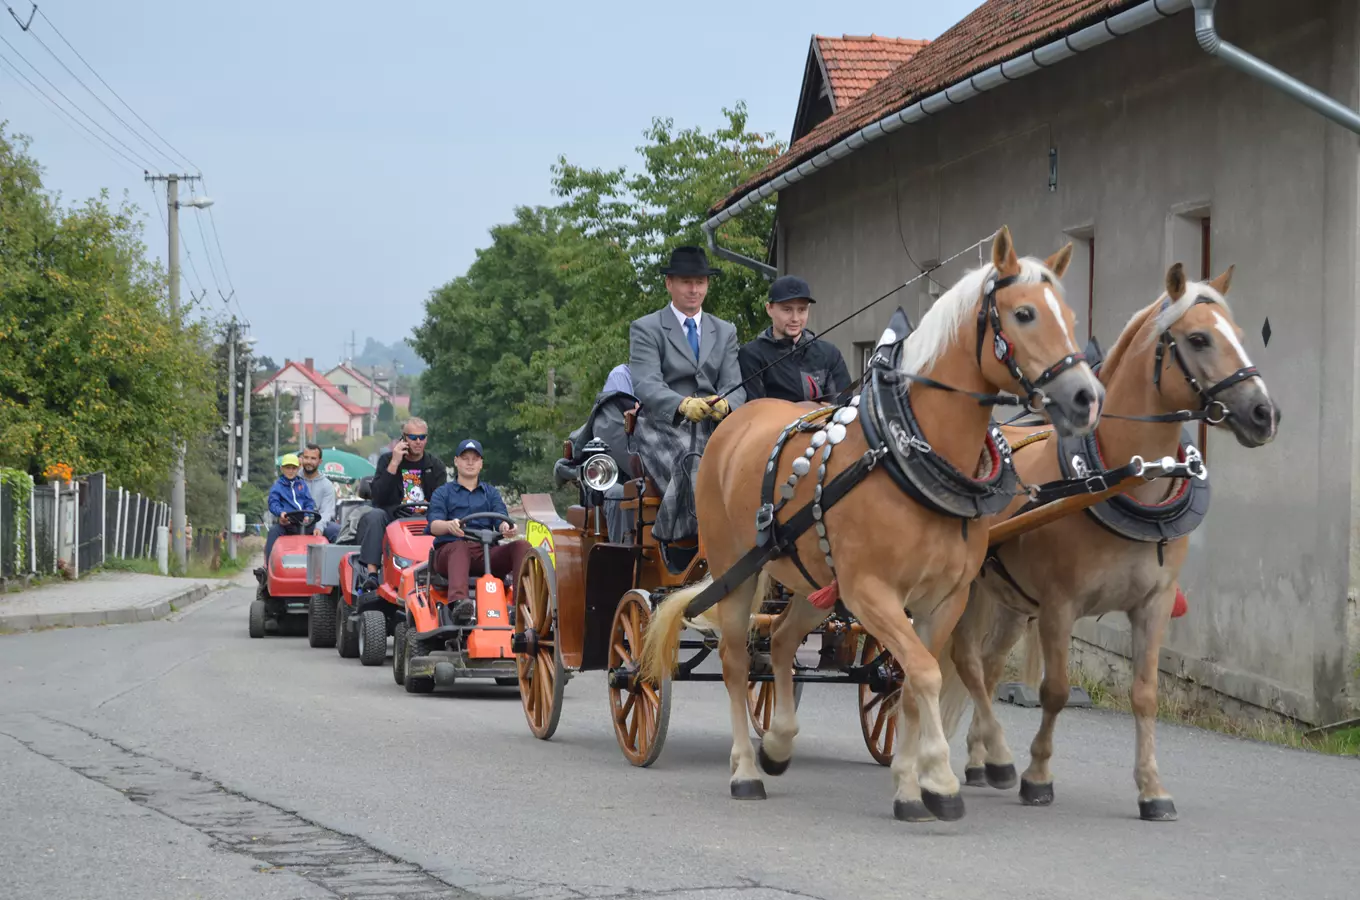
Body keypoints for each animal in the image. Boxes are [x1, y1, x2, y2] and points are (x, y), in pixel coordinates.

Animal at [639, 227, 1104, 826]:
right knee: (738, 661)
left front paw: (910, 786)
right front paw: (941, 780)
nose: (1085, 397)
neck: (908, 453)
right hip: (734, 571)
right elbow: (925, 675)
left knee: (783, 639)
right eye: (1024, 313)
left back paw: (779, 745)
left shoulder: (942, 599)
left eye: (1068, 313)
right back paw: (745, 770)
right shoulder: (871, 592)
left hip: (810, 581)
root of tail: (733, 421)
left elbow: (909, 681)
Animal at [941, 262, 1278, 826]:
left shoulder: (1154, 605)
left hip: (1010, 601)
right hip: (968, 590)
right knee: (965, 659)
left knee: (985, 669)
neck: (1116, 479)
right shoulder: (1060, 606)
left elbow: (1145, 695)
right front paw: (1038, 776)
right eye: (1199, 338)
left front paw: (1152, 789)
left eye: (1239, 334)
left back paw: (980, 759)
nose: (1263, 413)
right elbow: (1054, 692)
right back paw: (994, 758)